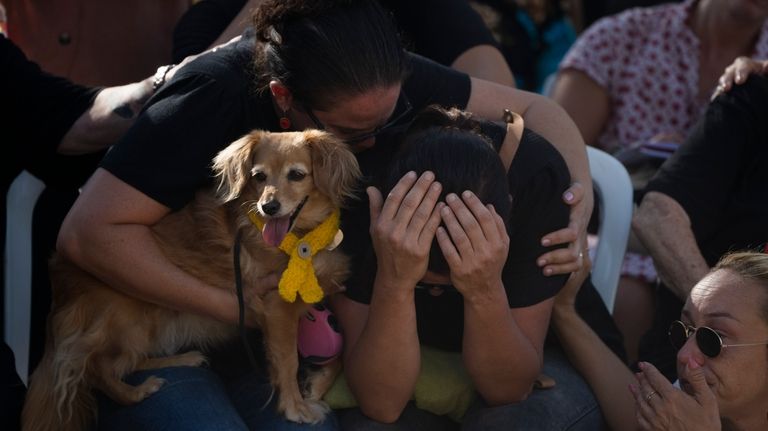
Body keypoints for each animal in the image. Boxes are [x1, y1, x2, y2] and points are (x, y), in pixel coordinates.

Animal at [21, 130, 364, 430]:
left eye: (296, 175)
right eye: (259, 177)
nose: (269, 207)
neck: (303, 239)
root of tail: (59, 281)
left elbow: (342, 352)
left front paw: (316, 386)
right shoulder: (275, 308)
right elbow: (288, 360)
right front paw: (295, 408)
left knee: (125, 363)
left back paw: (183, 359)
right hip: (132, 315)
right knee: (95, 369)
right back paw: (136, 392)